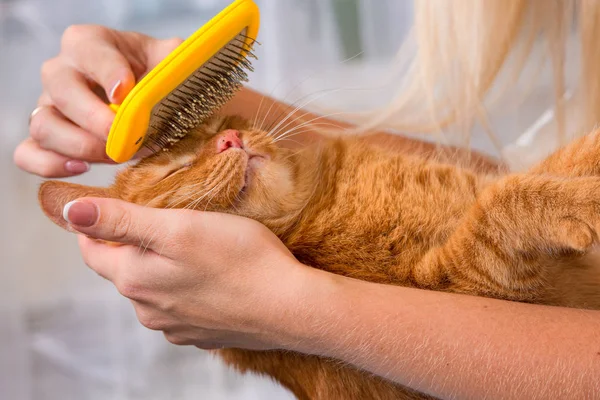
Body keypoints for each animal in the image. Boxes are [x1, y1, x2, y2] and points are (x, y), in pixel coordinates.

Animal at [38, 114, 600, 398]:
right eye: (173, 170)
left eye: (217, 128)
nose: (230, 138)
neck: (315, 211)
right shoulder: (465, 282)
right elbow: (504, 201)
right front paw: (586, 201)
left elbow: (564, 158)